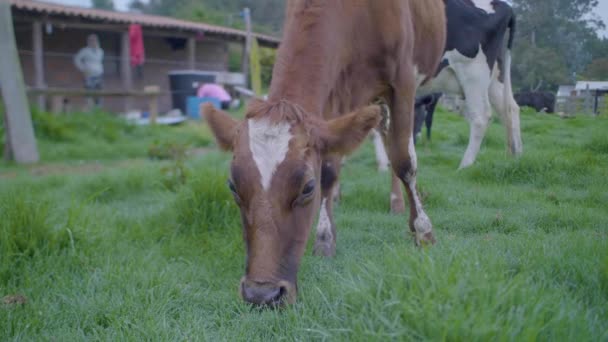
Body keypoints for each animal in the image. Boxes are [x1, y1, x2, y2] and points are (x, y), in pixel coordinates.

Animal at [202, 0, 444, 306]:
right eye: (233, 186)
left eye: (307, 187)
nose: (261, 294)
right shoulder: (334, 93)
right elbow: (330, 168)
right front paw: (325, 238)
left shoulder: (403, 80)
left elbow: (404, 160)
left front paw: (423, 231)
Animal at [372, 0, 520, 170]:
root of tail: (503, 5)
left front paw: (384, 164)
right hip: (494, 77)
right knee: (510, 109)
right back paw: (516, 156)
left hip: (474, 73)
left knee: (481, 116)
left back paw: (464, 166)